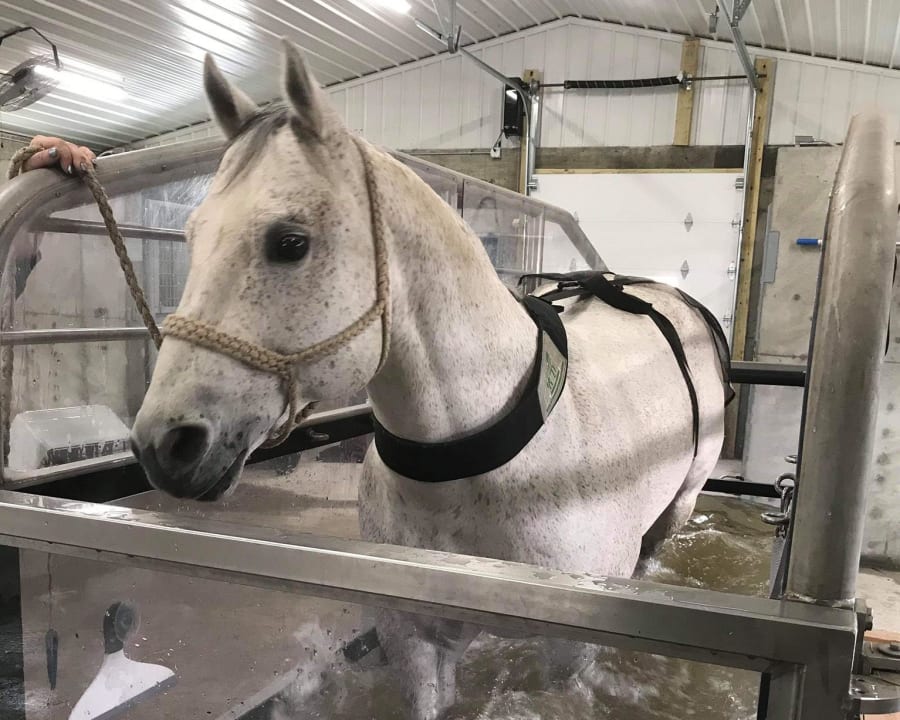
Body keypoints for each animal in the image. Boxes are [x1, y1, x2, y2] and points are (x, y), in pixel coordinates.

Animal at [130, 42, 728, 720]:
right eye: (192, 236)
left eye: (289, 241)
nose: (164, 444)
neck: (482, 463)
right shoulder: (414, 635)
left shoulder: (567, 653)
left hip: (678, 506)